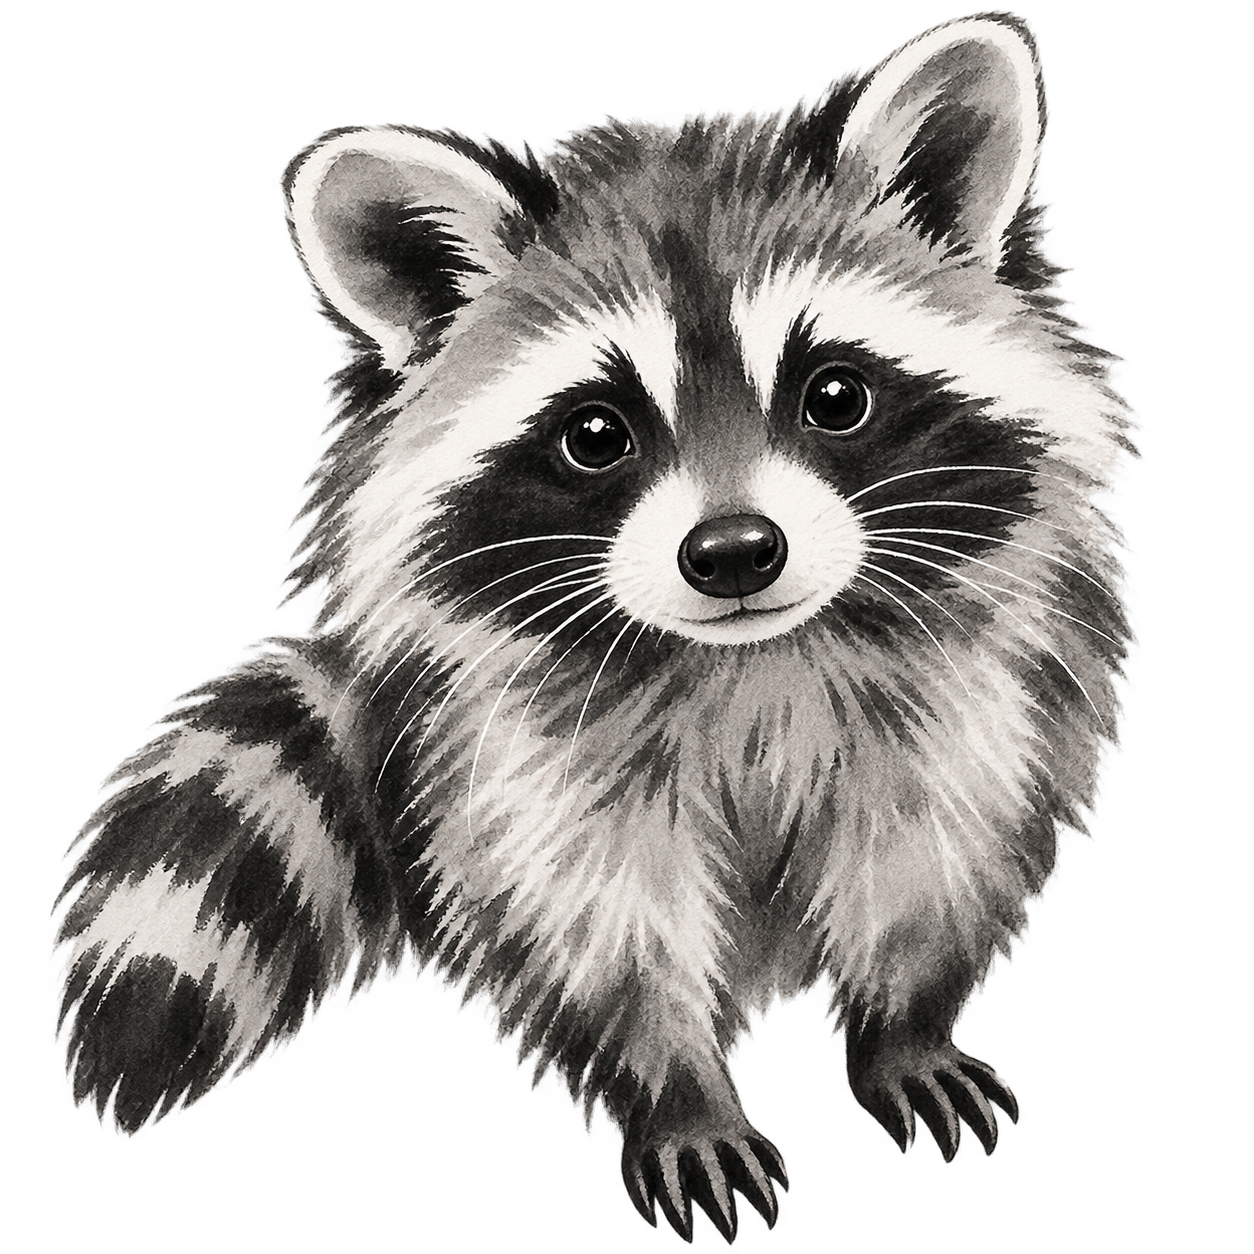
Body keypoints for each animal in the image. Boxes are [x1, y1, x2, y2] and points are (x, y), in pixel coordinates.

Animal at [51, 6, 1141, 1243]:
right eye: (596, 434)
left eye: (835, 396)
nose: (734, 553)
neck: (752, 664)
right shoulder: (518, 740)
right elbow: (599, 916)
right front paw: (676, 1099)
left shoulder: (959, 686)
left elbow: (925, 852)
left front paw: (902, 1032)